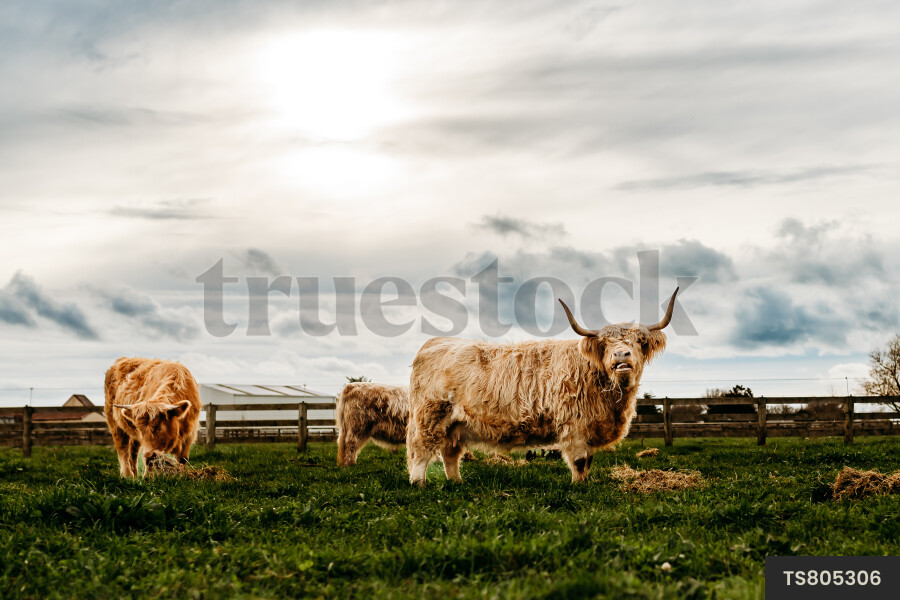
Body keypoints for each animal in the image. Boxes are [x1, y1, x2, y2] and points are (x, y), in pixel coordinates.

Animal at [406, 288, 678, 485]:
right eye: (604, 343)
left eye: (639, 341)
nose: (621, 355)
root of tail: (435, 342)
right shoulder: (574, 426)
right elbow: (579, 461)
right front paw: (578, 486)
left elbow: (589, 461)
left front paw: (586, 483)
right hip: (430, 416)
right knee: (421, 449)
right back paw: (420, 484)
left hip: (454, 425)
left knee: (450, 453)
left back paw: (456, 483)